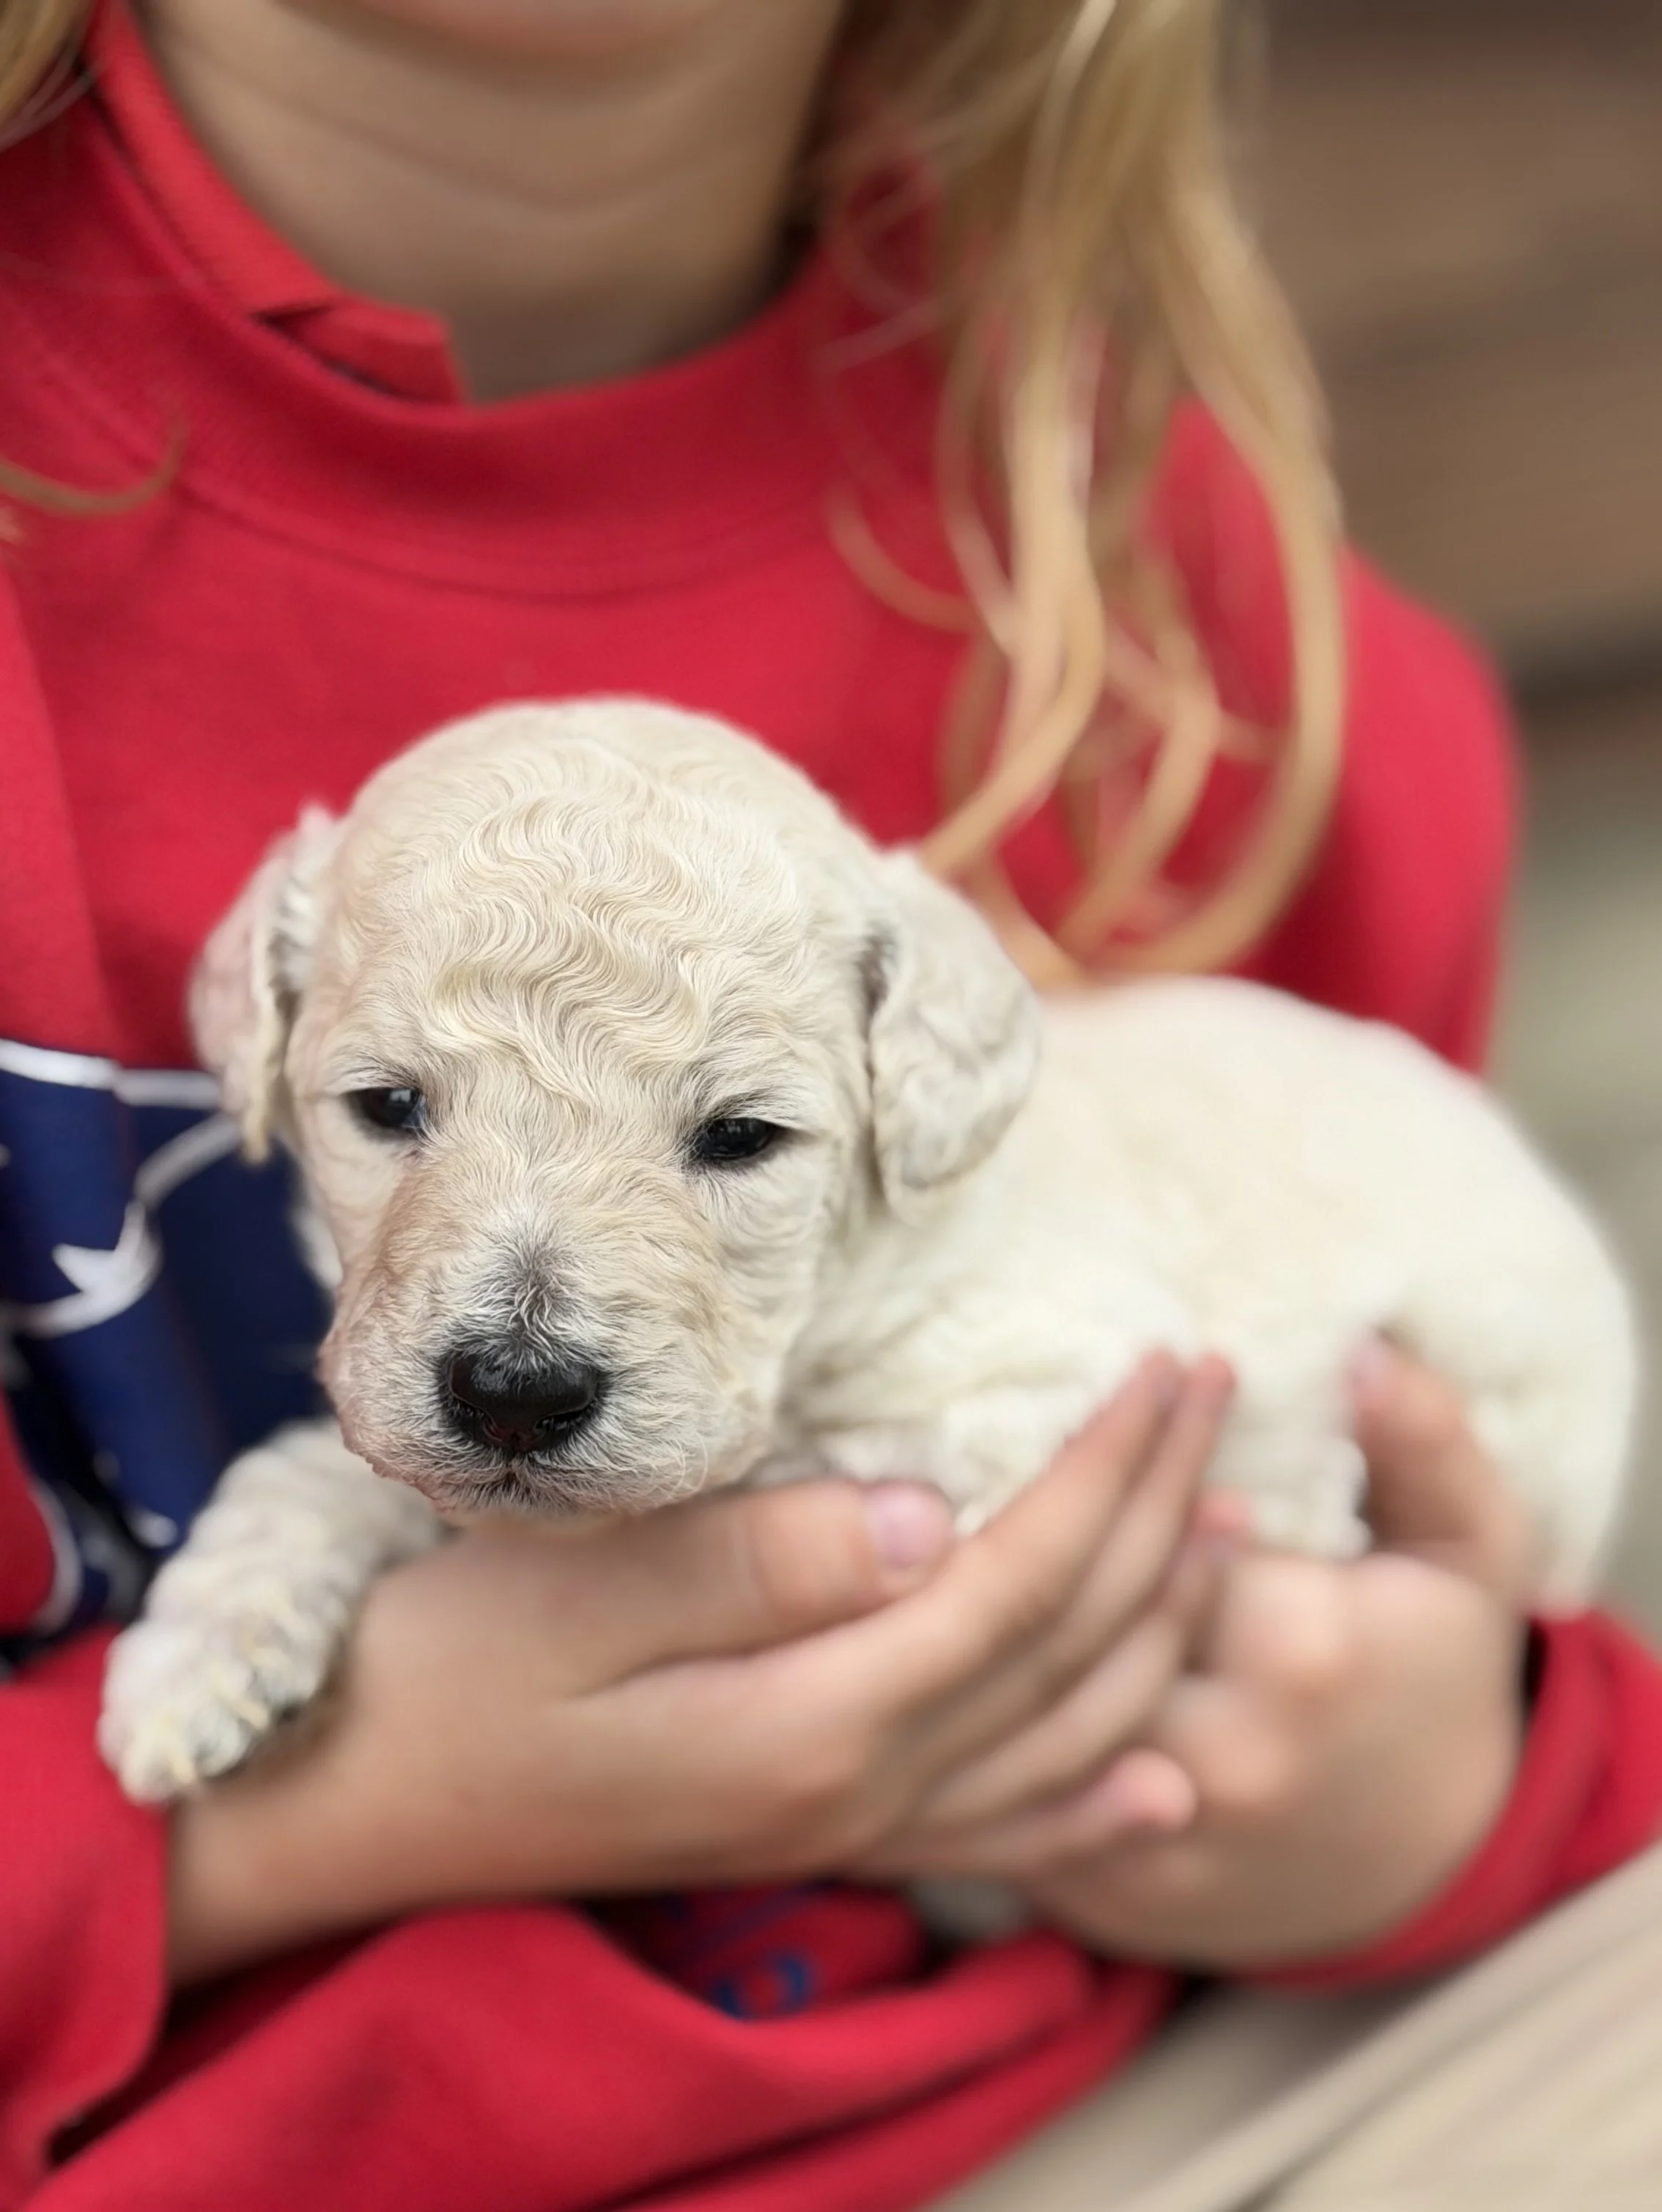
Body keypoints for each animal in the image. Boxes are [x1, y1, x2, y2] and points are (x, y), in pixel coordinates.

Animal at [100, 698, 1638, 1807]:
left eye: (741, 1136)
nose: (514, 1397)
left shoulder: (1046, 1398)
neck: (846, 1281)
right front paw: (196, 1663)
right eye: (385, 1108)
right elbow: (318, 1466)